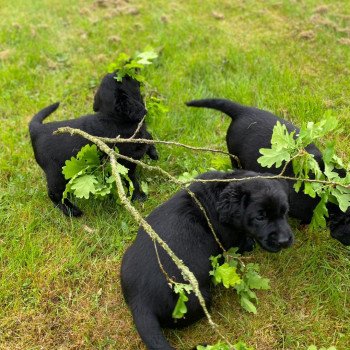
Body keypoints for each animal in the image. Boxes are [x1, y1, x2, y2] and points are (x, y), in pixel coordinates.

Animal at [29, 73, 158, 216]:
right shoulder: (125, 161)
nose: (131, 69)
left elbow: (148, 137)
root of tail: (36, 129)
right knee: (54, 194)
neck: (112, 118)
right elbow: (131, 179)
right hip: (55, 174)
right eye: (126, 78)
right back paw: (72, 211)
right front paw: (139, 196)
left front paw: (153, 153)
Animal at [120, 168, 292, 348]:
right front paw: (248, 244)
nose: (284, 241)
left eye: (285, 211)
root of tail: (140, 302)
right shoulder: (230, 239)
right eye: (260, 217)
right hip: (200, 299)